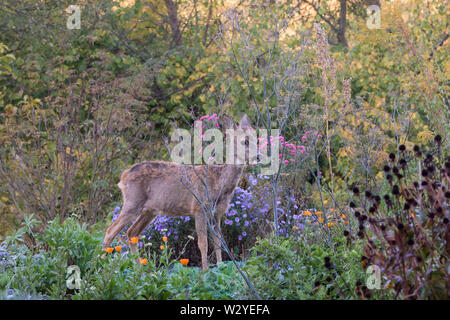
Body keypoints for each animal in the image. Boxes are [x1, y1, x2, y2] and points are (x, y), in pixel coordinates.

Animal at [101, 114, 256, 268]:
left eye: (256, 137)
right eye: (245, 141)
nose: (258, 156)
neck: (219, 183)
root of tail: (124, 176)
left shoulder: (216, 213)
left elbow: (218, 243)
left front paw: (221, 266)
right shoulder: (199, 208)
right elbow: (203, 243)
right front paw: (205, 270)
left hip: (149, 211)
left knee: (131, 232)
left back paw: (139, 270)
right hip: (133, 202)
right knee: (110, 231)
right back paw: (100, 265)